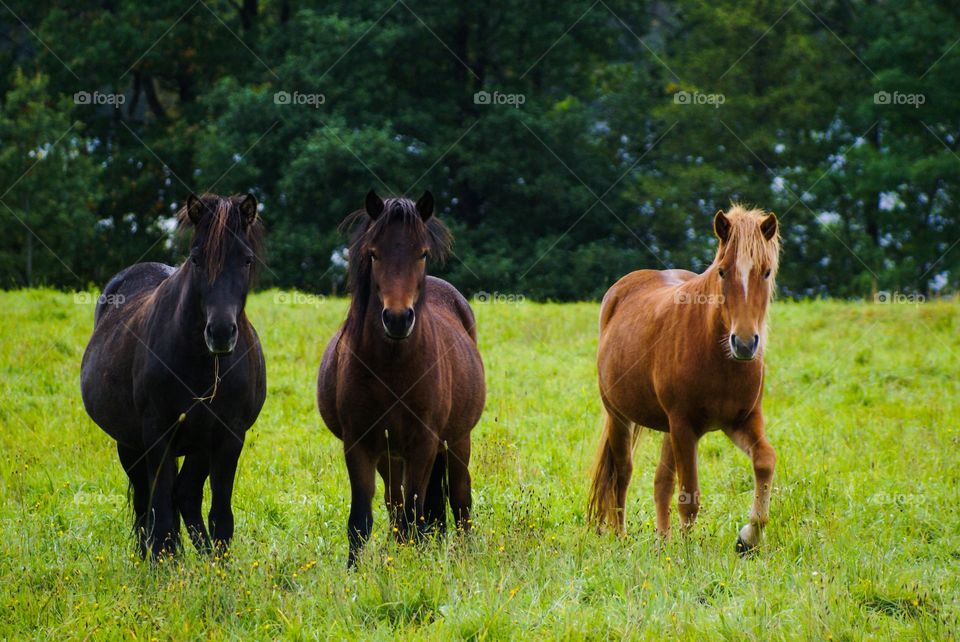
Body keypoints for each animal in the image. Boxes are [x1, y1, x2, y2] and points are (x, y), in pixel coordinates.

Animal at [79, 192, 264, 556]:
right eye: (196, 258)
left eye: (247, 260)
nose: (221, 333)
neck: (202, 363)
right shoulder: (156, 434)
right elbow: (161, 514)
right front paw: (165, 565)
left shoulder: (228, 436)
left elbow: (220, 515)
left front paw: (218, 567)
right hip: (131, 444)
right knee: (146, 501)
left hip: (198, 445)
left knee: (186, 496)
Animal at [320, 189, 488, 564]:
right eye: (373, 253)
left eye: (422, 253)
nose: (397, 319)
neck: (392, 367)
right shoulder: (360, 442)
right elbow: (362, 518)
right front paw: (356, 570)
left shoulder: (423, 442)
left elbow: (416, 512)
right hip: (390, 454)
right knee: (394, 503)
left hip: (456, 441)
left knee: (460, 498)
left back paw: (465, 553)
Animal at [584, 204, 780, 552]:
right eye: (722, 271)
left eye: (766, 272)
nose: (744, 343)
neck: (719, 358)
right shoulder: (685, 426)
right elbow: (689, 497)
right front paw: (689, 553)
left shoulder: (742, 421)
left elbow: (764, 460)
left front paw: (748, 537)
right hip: (620, 416)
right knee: (623, 473)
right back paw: (622, 537)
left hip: (668, 429)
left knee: (661, 480)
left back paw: (662, 540)